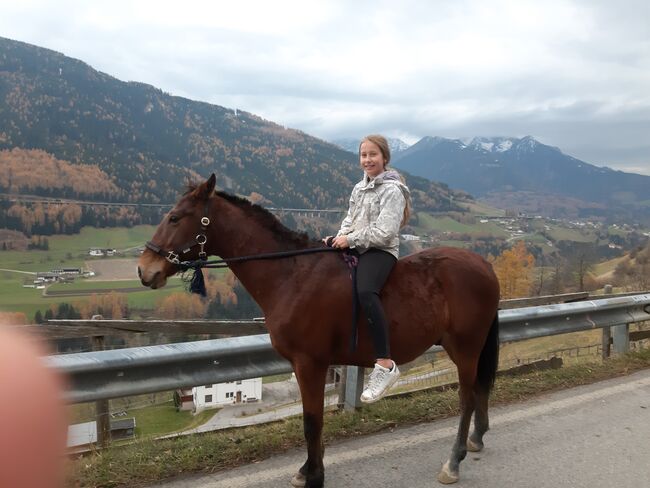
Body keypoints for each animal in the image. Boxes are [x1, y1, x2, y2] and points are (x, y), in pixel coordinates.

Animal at [138, 173, 502, 486]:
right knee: (478, 392)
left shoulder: (309, 363)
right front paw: (308, 469)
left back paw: (454, 461)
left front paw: (314, 475)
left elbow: (312, 422)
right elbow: (312, 419)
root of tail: (483, 265)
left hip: (465, 348)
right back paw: (476, 438)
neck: (291, 274)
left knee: (467, 398)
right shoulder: (306, 366)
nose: (144, 270)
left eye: (175, 218)